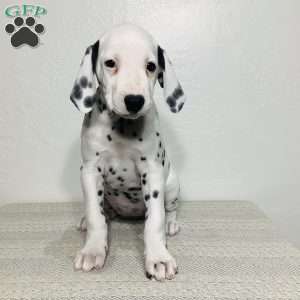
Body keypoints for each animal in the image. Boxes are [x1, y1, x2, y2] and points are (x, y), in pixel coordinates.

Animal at [70, 24, 185, 282]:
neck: (121, 127)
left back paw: (171, 225)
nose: (134, 101)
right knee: (102, 212)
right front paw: (93, 249)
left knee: (169, 210)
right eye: (110, 63)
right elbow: (95, 216)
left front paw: (158, 257)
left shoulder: (152, 172)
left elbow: (155, 220)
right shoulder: (89, 171)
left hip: (172, 185)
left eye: (151, 66)